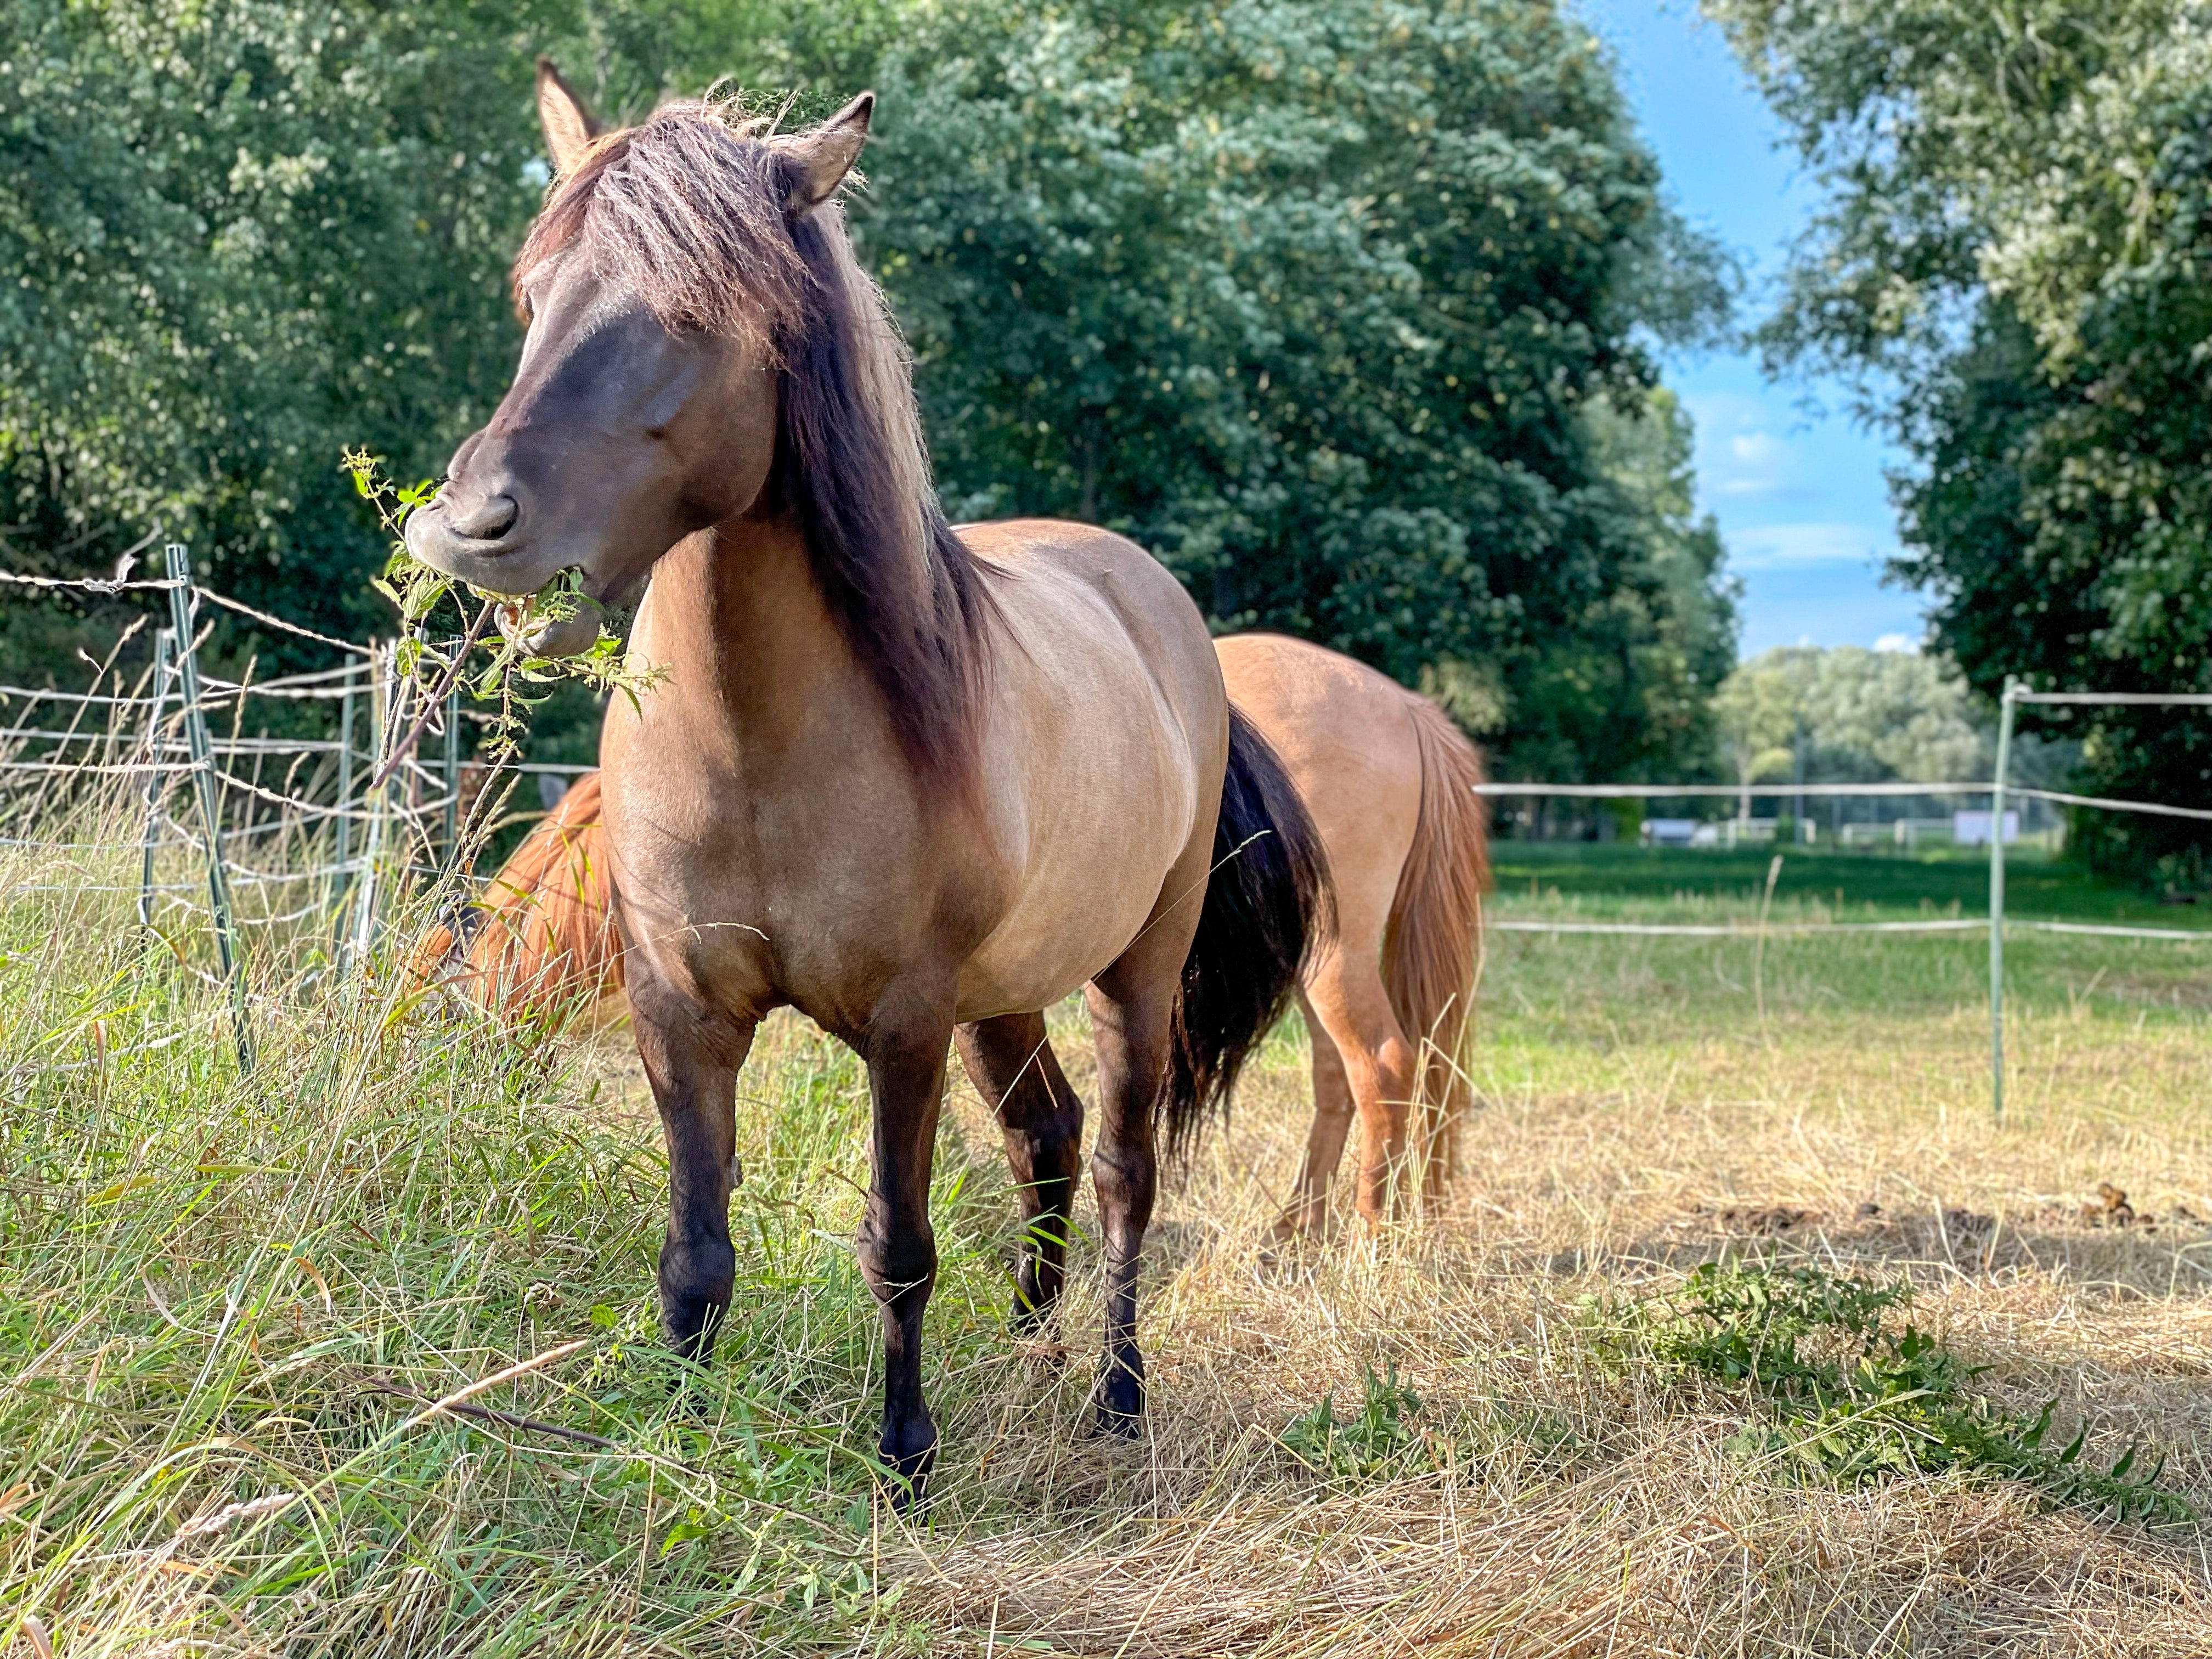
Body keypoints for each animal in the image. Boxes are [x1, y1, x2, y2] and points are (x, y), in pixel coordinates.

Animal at [396, 71, 1318, 1495]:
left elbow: (898, 1242)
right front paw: (676, 1440)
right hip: (1005, 999)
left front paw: (903, 1457)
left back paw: (1113, 1399)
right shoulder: (683, 1013)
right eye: (532, 296)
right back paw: (1032, 1355)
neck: (758, 758)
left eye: (694, 314)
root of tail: (1161, 609)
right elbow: (696, 1254)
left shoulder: (903, 1023)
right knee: (1044, 1140)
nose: (471, 530)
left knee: (1120, 1168)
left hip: (1133, 976)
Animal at [418, 637, 1486, 1238]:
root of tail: (1406, 707)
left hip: (1332, 955)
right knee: (1357, 1079)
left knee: (1384, 1065)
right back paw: (1306, 1233)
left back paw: (1368, 1238)